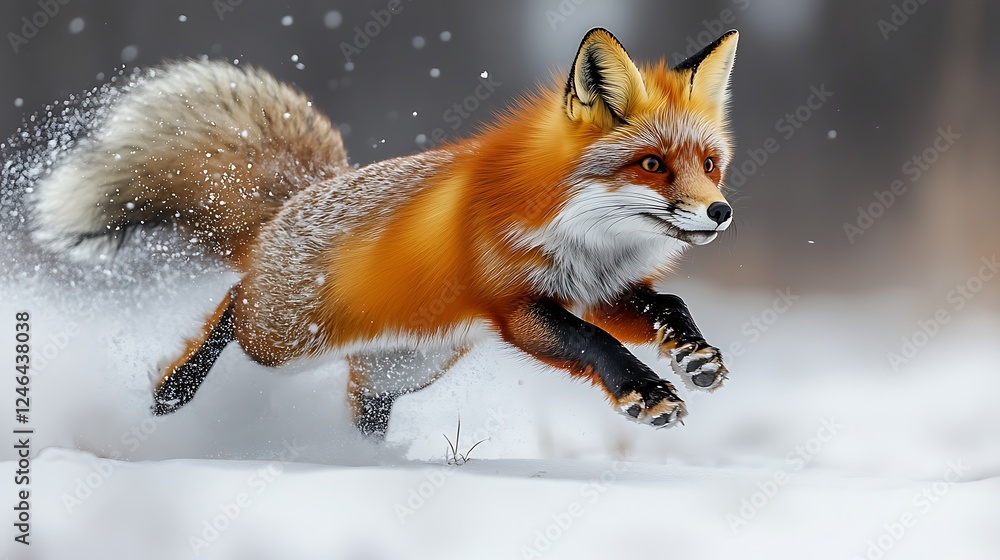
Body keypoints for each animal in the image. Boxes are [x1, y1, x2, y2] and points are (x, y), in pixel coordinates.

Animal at [30, 28, 739, 438]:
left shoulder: (601, 289)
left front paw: (695, 356)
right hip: (283, 341)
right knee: (233, 302)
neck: (588, 240)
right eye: (652, 164)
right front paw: (648, 392)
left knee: (362, 408)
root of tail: (301, 196)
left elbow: (667, 306)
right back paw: (173, 391)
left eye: (708, 164)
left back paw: (366, 459)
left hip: (403, 369)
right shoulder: (516, 306)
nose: (721, 212)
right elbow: (597, 344)